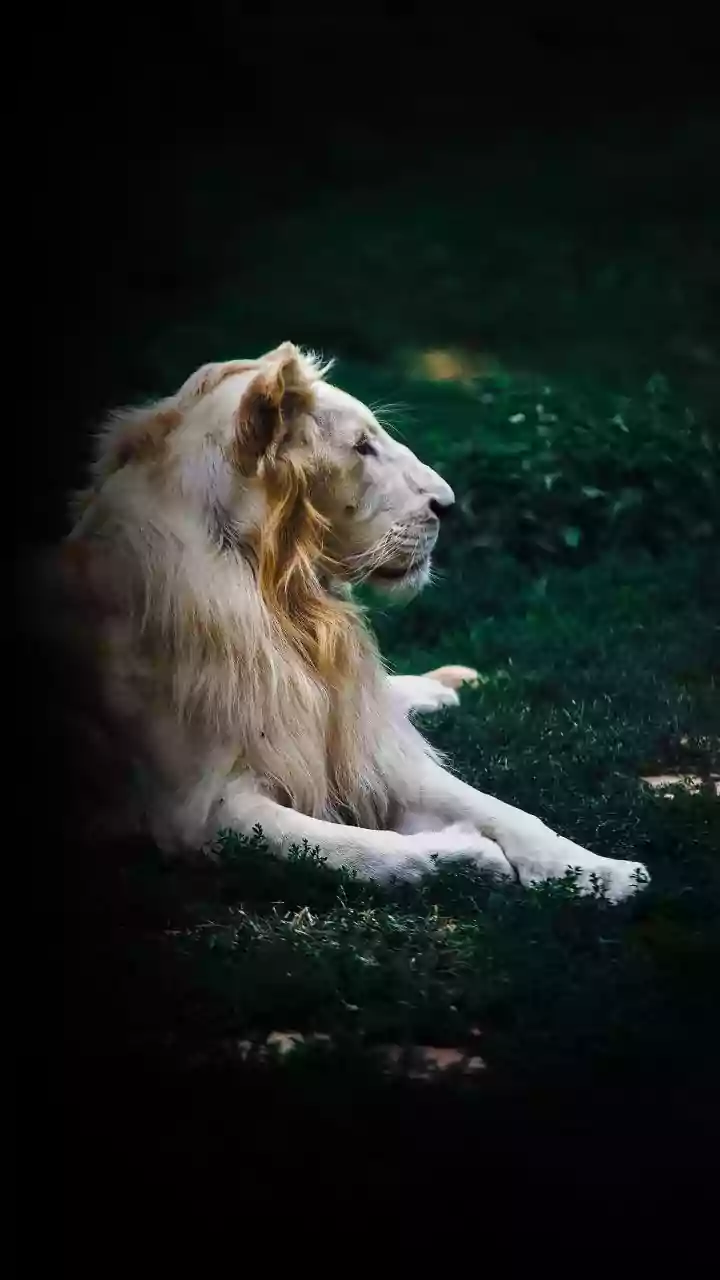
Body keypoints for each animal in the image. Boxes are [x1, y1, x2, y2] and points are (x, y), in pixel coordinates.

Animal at [46, 342, 648, 901]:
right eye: (361, 447)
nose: (449, 504)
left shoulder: (367, 751)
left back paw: (449, 685)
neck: (288, 605)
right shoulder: (197, 808)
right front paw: (473, 858)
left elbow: (507, 812)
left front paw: (607, 873)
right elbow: (349, 851)